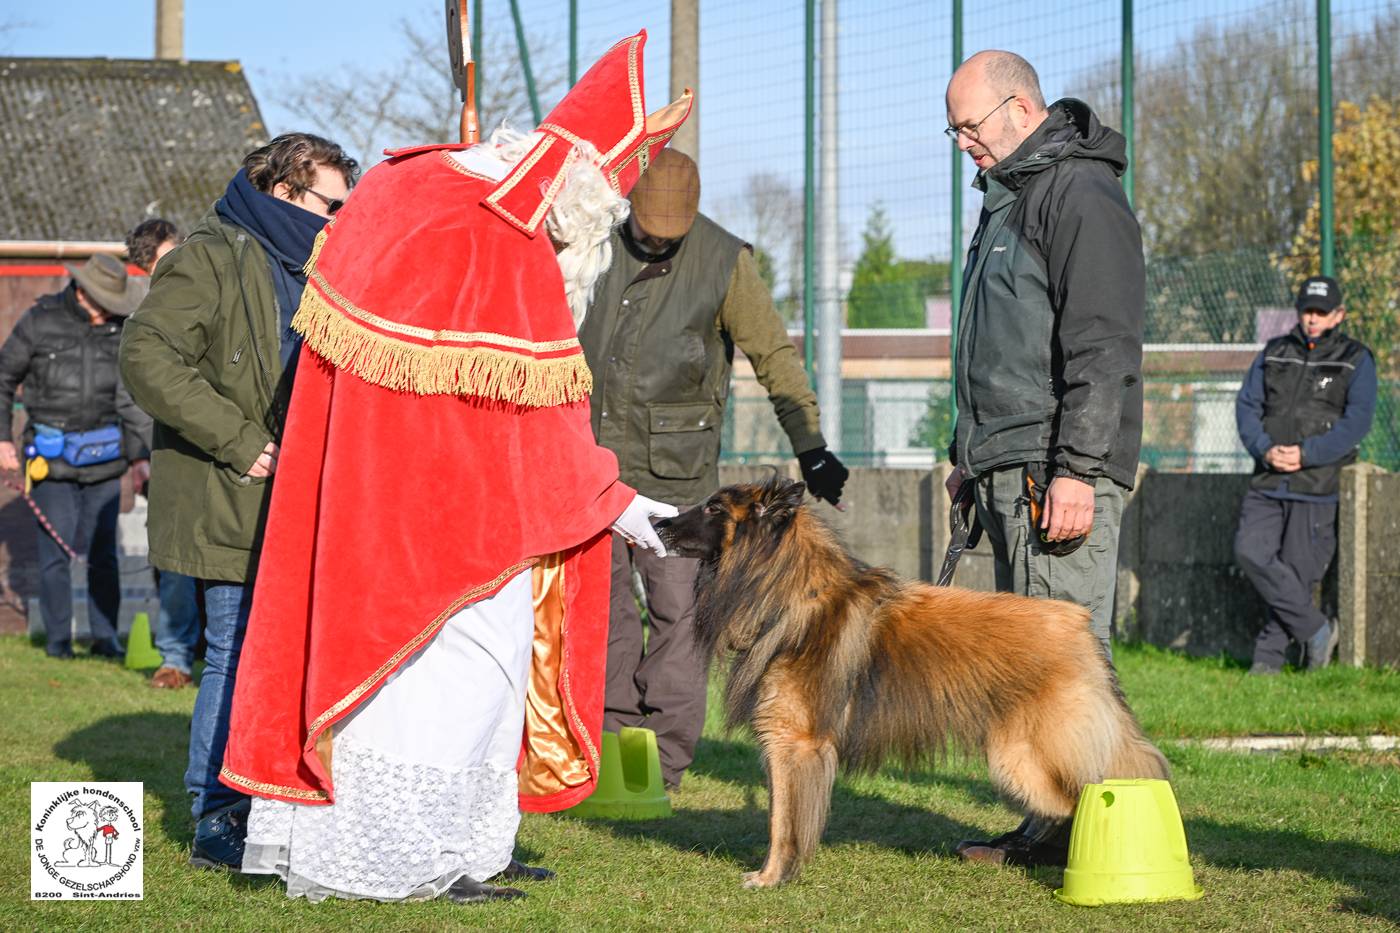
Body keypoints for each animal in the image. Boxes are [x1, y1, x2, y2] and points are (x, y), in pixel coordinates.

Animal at [655, 479, 1170, 885]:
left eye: (714, 509)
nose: (658, 525)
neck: (791, 590)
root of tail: (1079, 625)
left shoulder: (792, 743)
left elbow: (782, 822)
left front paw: (770, 877)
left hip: (1023, 759)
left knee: (1091, 799)